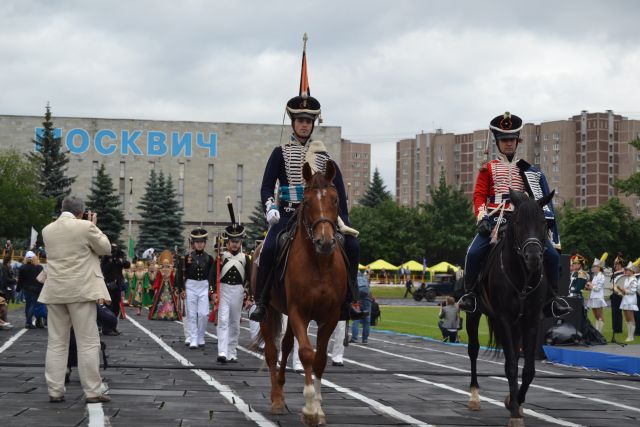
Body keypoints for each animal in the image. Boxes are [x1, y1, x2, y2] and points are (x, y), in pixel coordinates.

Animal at [252, 160, 348, 427]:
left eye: (335, 199)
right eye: (307, 200)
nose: (325, 242)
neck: (320, 264)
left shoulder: (330, 316)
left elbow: (320, 358)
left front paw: (319, 408)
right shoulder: (298, 312)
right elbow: (306, 353)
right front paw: (310, 408)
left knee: (285, 346)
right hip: (269, 312)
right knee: (272, 353)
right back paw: (276, 399)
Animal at [464, 189, 556, 426]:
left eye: (544, 222)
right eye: (518, 223)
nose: (533, 257)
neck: (522, 276)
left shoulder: (531, 320)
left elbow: (529, 369)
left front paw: (515, 402)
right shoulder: (504, 318)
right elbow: (512, 365)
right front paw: (514, 411)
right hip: (474, 314)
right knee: (473, 350)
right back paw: (474, 397)